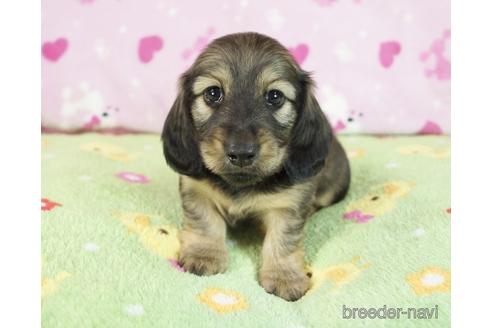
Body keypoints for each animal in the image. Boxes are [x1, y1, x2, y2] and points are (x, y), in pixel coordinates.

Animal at [161, 32, 350, 302]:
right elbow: (204, 220)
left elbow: (283, 240)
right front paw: (204, 253)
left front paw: (284, 276)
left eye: (275, 96)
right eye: (213, 93)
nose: (241, 152)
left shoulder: (289, 205)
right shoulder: (196, 190)